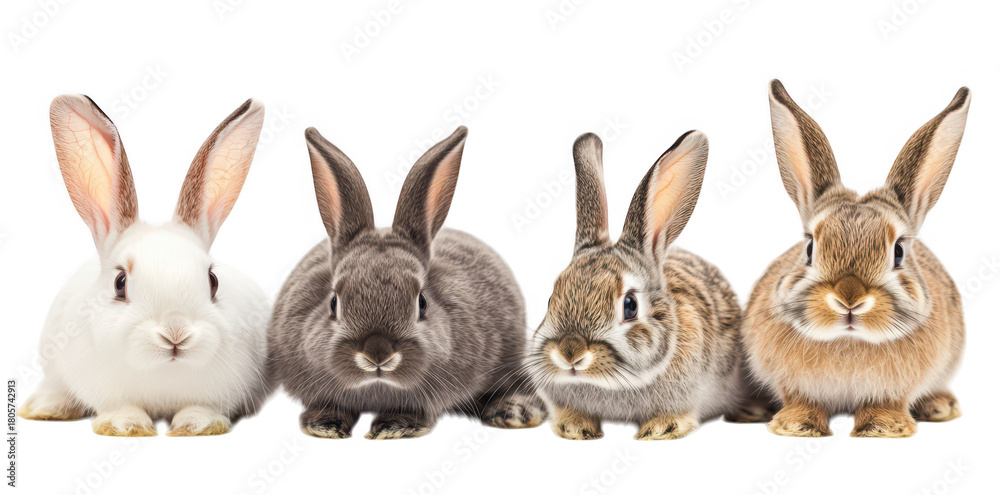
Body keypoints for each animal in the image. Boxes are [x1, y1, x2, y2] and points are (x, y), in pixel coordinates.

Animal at [18, 95, 272, 437]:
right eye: (119, 283)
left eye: (213, 281)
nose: (175, 332)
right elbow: (122, 407)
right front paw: (126, 425)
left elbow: (202, 408)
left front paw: (196, 425)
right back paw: (46, 408)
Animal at [267, 126, 545, 440]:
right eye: (333, 302)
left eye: (422, 302)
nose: (377, 354)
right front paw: (324, 425)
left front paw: (392, 427)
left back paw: (513, 411)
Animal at [744, 80, 969, 438]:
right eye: (810, 247)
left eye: (899, 251)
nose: (849, 299)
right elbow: (801, 400)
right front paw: (796, 425)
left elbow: (886, 402)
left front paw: (883, 427)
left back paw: (941, 406)